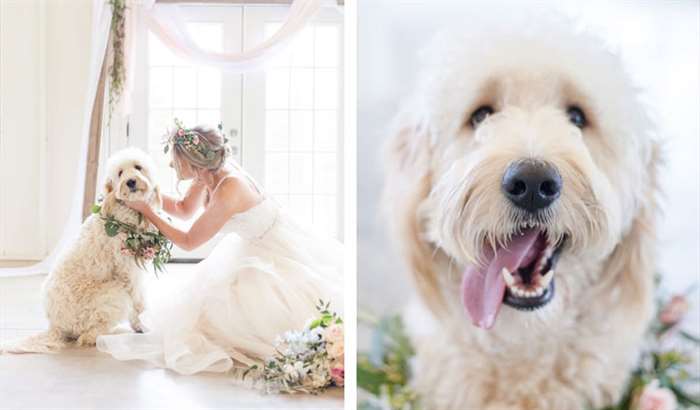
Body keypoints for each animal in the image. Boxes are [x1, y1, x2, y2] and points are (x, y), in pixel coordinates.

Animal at [3, 147, 161, 352]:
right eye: (120, 173)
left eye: (138, 167)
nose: (131, 182)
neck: (125, 212)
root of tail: (55, 326)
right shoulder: (127, 271)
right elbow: (138, 302)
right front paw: (142, 325)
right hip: (113, 293)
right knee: (86, 335)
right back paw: (103, 336)